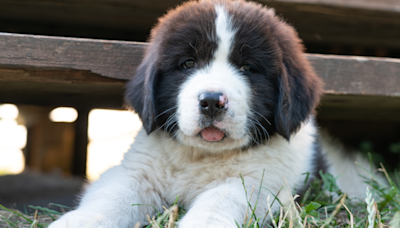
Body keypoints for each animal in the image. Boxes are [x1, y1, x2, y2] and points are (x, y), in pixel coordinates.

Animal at [50, 0, 372, 227]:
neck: (201, 156)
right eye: (188, 63)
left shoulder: (258, 183)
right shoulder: (138, 172)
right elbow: (109, 198)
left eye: (247, 68)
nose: (212, 101)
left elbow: (219, 202)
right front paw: (76, 222)